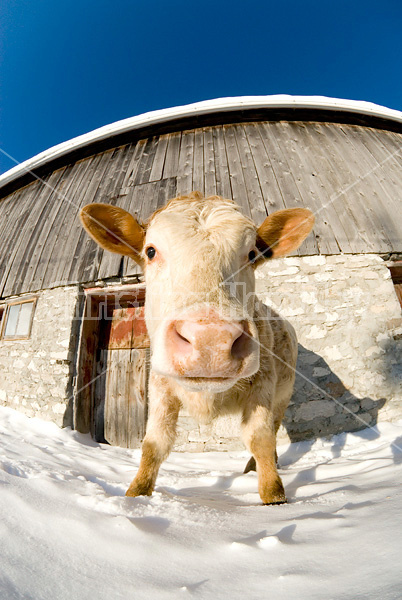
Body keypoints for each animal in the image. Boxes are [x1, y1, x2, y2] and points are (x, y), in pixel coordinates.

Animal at [81, 193, 314, 506]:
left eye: (252, 254)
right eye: (151, 251)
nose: (211, 339)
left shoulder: (264, 381)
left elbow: (260, 437)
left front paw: (273, 495)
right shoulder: (160, 384)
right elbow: (154, 443)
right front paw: (136, 494)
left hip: (284, 391)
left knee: (274, 427)